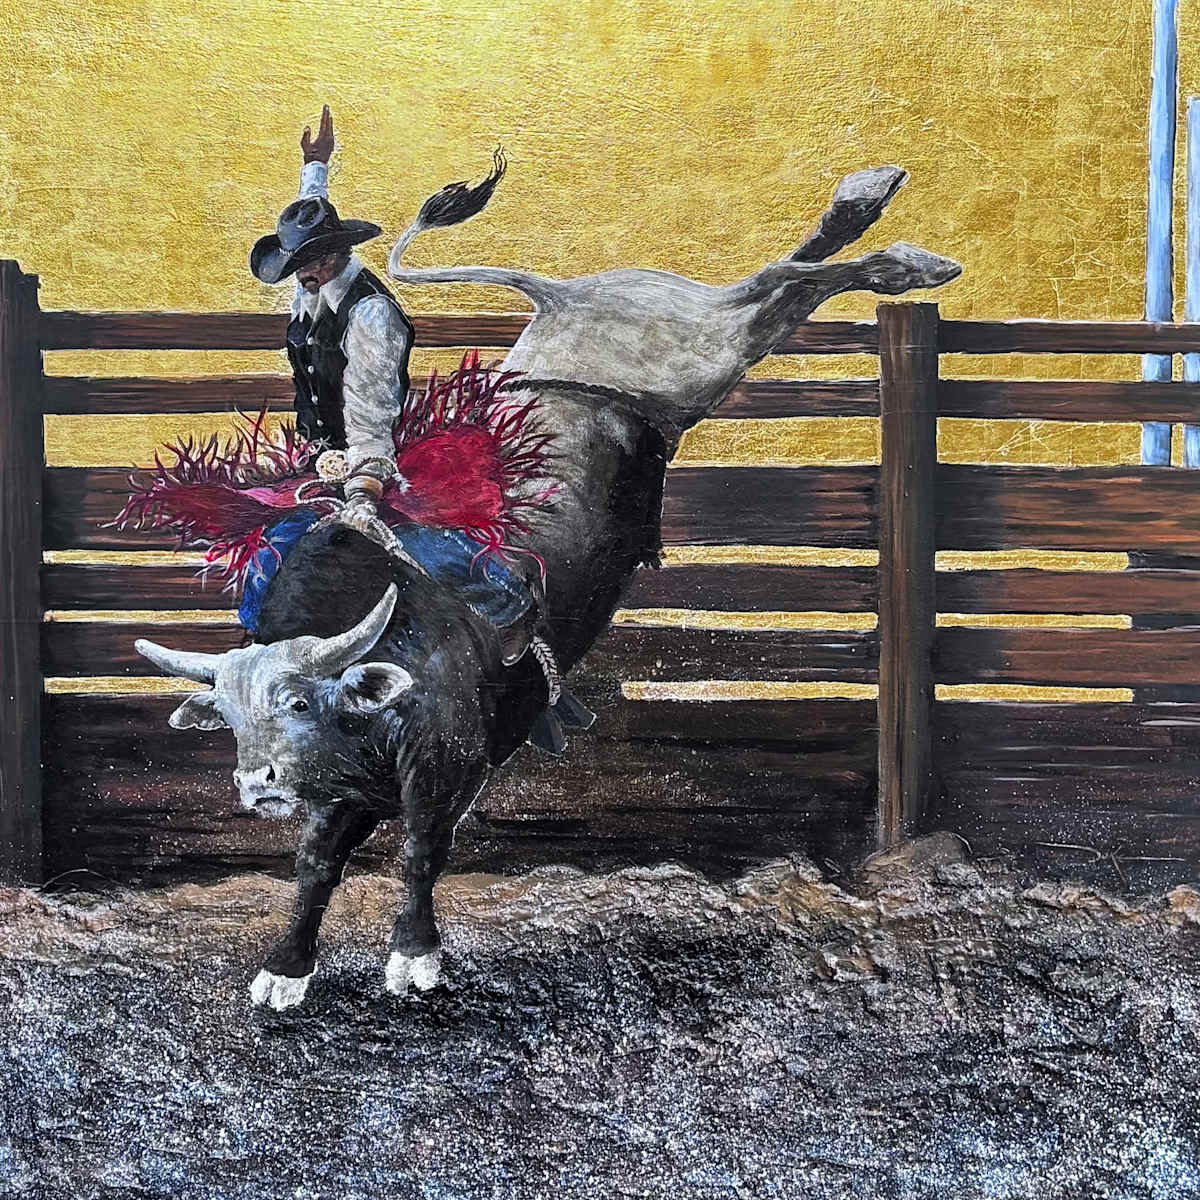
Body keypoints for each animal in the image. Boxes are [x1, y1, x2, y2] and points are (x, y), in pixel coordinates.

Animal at [135, 162, 960, 1009]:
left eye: (300, 703)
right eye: (231, 716)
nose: (256, 782)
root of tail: (561, 296)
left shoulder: (448, 764)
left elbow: (420, 851)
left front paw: (415, 956)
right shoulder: (347, 790)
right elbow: (314, 865)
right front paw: (287, 967)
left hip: (696, 351)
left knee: (771, 285)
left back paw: (895, 249)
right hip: (689, 375)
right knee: (780, 287)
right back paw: (874, 222)